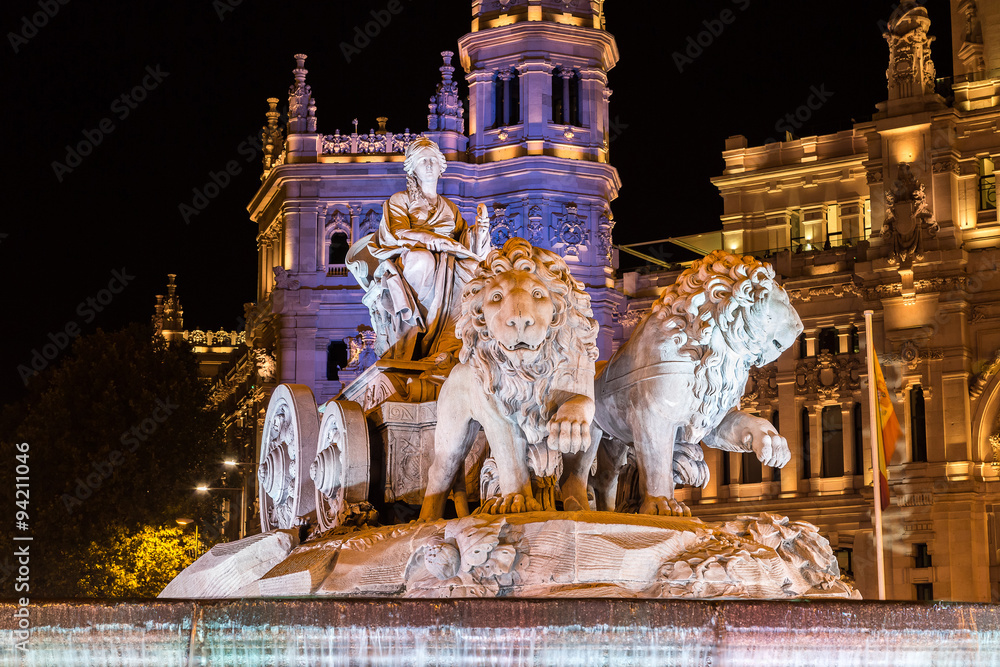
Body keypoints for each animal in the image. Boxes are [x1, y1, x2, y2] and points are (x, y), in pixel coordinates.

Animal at [418, 237, 596, 520]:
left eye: (538, 294)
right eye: (496, 297)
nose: (520, 321)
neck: (528, 371)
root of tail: (454, 369)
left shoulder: (582, 376)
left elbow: (580, 409)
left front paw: (571, 424)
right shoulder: (498, 417)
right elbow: (510, 459)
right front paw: (515, 500)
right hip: (451, 429)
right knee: (441, 468)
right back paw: (426, 519)